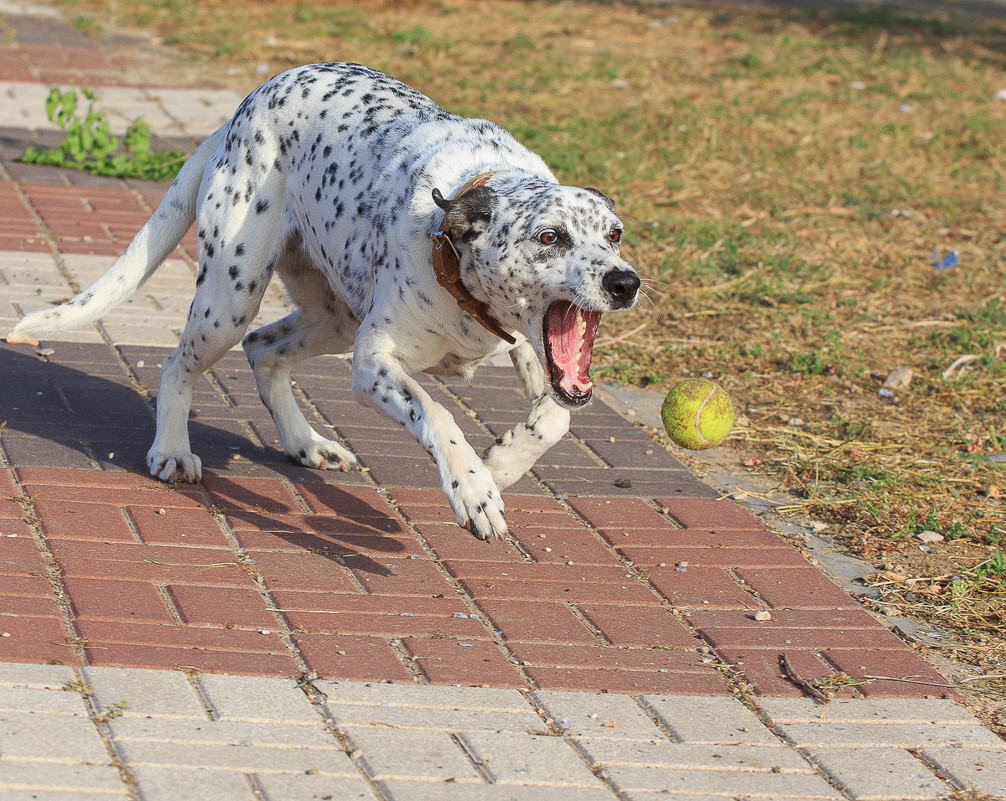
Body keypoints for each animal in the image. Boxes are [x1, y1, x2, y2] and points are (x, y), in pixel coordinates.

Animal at [7, 61, 639, 539]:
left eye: (615, 234)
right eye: (549, 237)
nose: (625, 282)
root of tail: (243, 108)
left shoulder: (529, 348)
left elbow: (555, 417)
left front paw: (503, 464)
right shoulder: (373, 363)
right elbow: (437, 413)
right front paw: (473, 487)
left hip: (333, 317)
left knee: (265, 349)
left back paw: (304, 443)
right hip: (230, 302)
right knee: (177, 362)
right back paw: (171, 450)